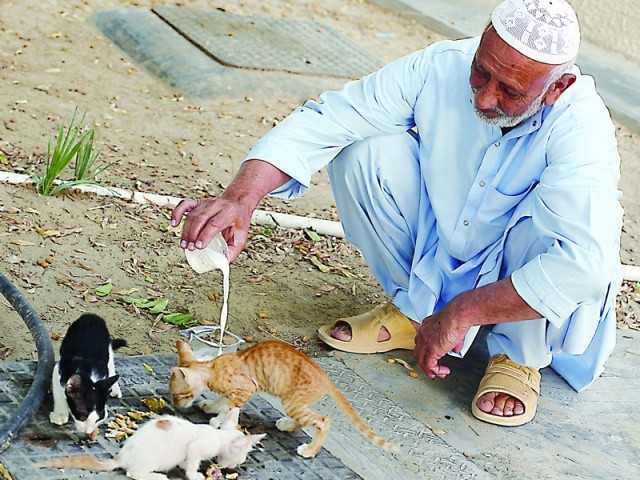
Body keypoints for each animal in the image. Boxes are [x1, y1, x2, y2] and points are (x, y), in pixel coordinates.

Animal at [38, 408, 264, 480]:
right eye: (241, 457)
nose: (234, 466)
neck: (218, 437)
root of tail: (122, 456)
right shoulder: (197, 447)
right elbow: (192, 463)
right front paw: (195, 475)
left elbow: (186, 461)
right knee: (133, 474)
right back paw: (158, 477)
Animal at [168, 338, 392, 458]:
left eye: (178, 395)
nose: (176, 405)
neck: (213, 367)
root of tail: (326, 377)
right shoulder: (239, 392)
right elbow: (225, 402)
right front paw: (212, 406)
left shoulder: (247, 389)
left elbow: (230, 406)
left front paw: (218, 420)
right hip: (296, 403)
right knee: (307, 419)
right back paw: (287, 425)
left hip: (292, 402)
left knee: (323, 421)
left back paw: (310, 450)